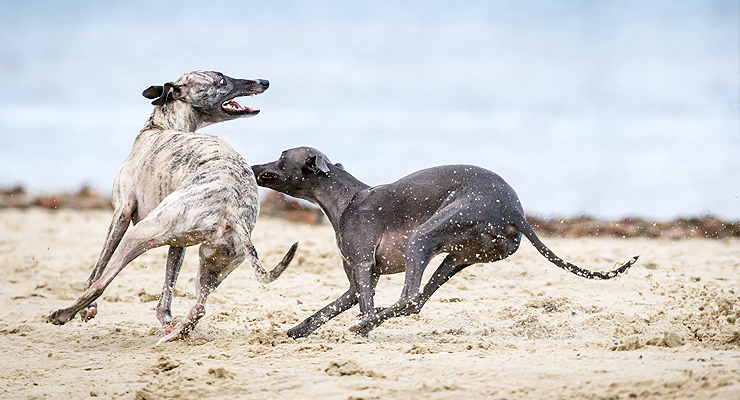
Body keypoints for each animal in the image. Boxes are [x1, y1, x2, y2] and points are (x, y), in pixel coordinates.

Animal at [251, 147, 632, 338]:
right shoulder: (359, 282)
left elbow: (365, 306)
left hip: (424, 237)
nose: (253, 166)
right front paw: (295, 331)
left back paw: (366, 325)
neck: (347, 198)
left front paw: (363, 329)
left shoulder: (362, 266)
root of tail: (515, 209)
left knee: (408, 299)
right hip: (458, 256)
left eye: (282, 157)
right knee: (417, 301)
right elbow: (326, 310)